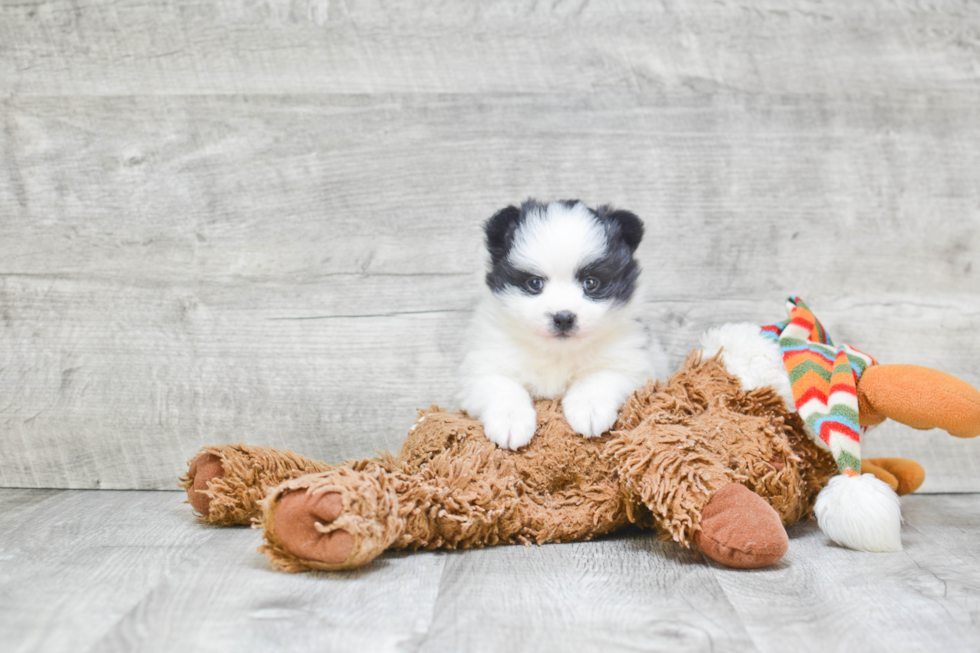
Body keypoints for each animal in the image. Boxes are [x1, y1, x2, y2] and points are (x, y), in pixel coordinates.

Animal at [460, 199, 668, 448]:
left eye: (591, 283)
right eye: (535, 283)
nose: (563, 317)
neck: (558, 352)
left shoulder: (632, 363)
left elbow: (599, 376)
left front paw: (590, 408)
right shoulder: (483, 364)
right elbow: (501, 385)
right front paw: (510, 421)